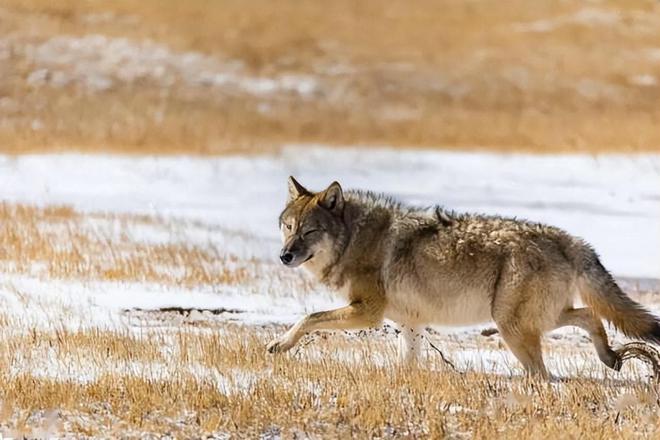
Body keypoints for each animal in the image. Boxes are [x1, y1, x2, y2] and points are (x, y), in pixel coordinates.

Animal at [266, 176, 660, 378]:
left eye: (309, 232)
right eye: (288, 227)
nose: (284, 256)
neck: (354, 238)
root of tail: (569, 239)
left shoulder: (367, 313)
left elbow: (307, 318)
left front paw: (279, 345)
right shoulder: (410, 324)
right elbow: (406, 365)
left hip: (511, 327)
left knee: (543, 374)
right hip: (537, 319)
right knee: (591, 316)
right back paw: (610, 358)